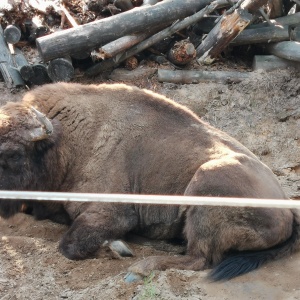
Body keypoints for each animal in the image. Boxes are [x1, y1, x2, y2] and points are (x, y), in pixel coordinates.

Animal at [0, 82, 300, 282]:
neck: (68, 141)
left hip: (207, 180)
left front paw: (119, 249)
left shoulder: (112, 213)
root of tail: (288, 209)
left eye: (14, 154)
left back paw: (141, 267)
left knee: (200, 259)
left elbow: (69, 246)